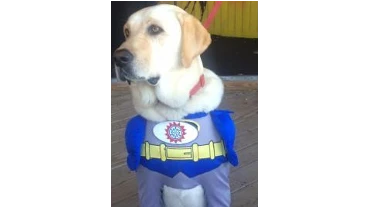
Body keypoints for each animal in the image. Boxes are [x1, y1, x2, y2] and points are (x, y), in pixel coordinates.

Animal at [112, 4, 238, 208]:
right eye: (127, 32)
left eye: (155, 29)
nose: (117, 57)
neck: (172, 111)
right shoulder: (148, 181)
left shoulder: (215, 180)